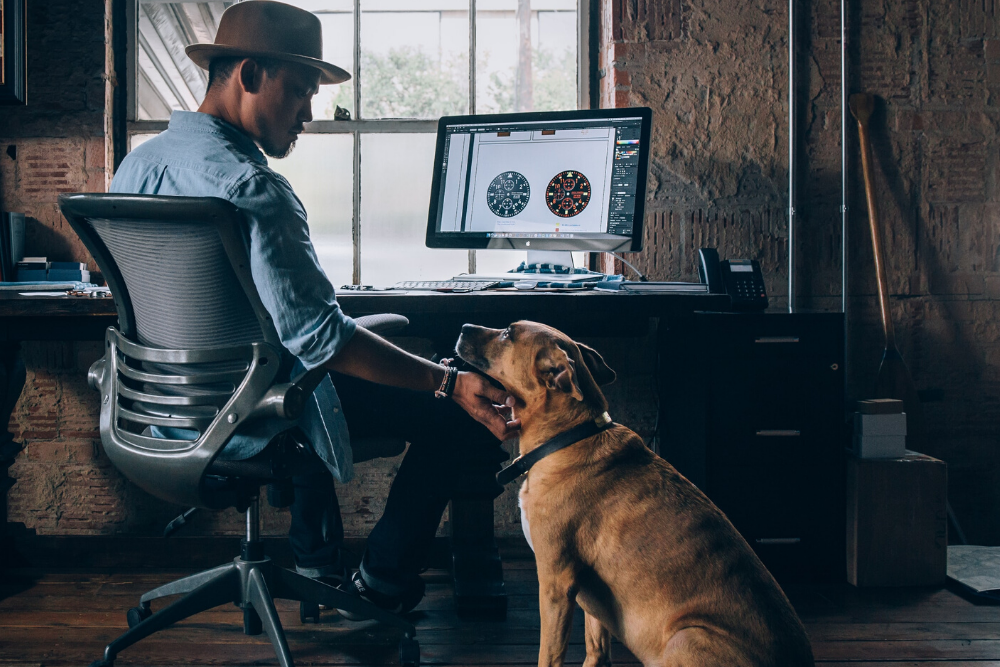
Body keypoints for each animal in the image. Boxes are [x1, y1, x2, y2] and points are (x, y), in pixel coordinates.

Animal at [458, 320, 816, 664]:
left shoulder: (556, 584)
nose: (463, 328)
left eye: (507, 333)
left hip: (686, 636)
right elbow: (597, 651)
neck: (568, 437)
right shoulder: (592, 603)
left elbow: (549, 655)